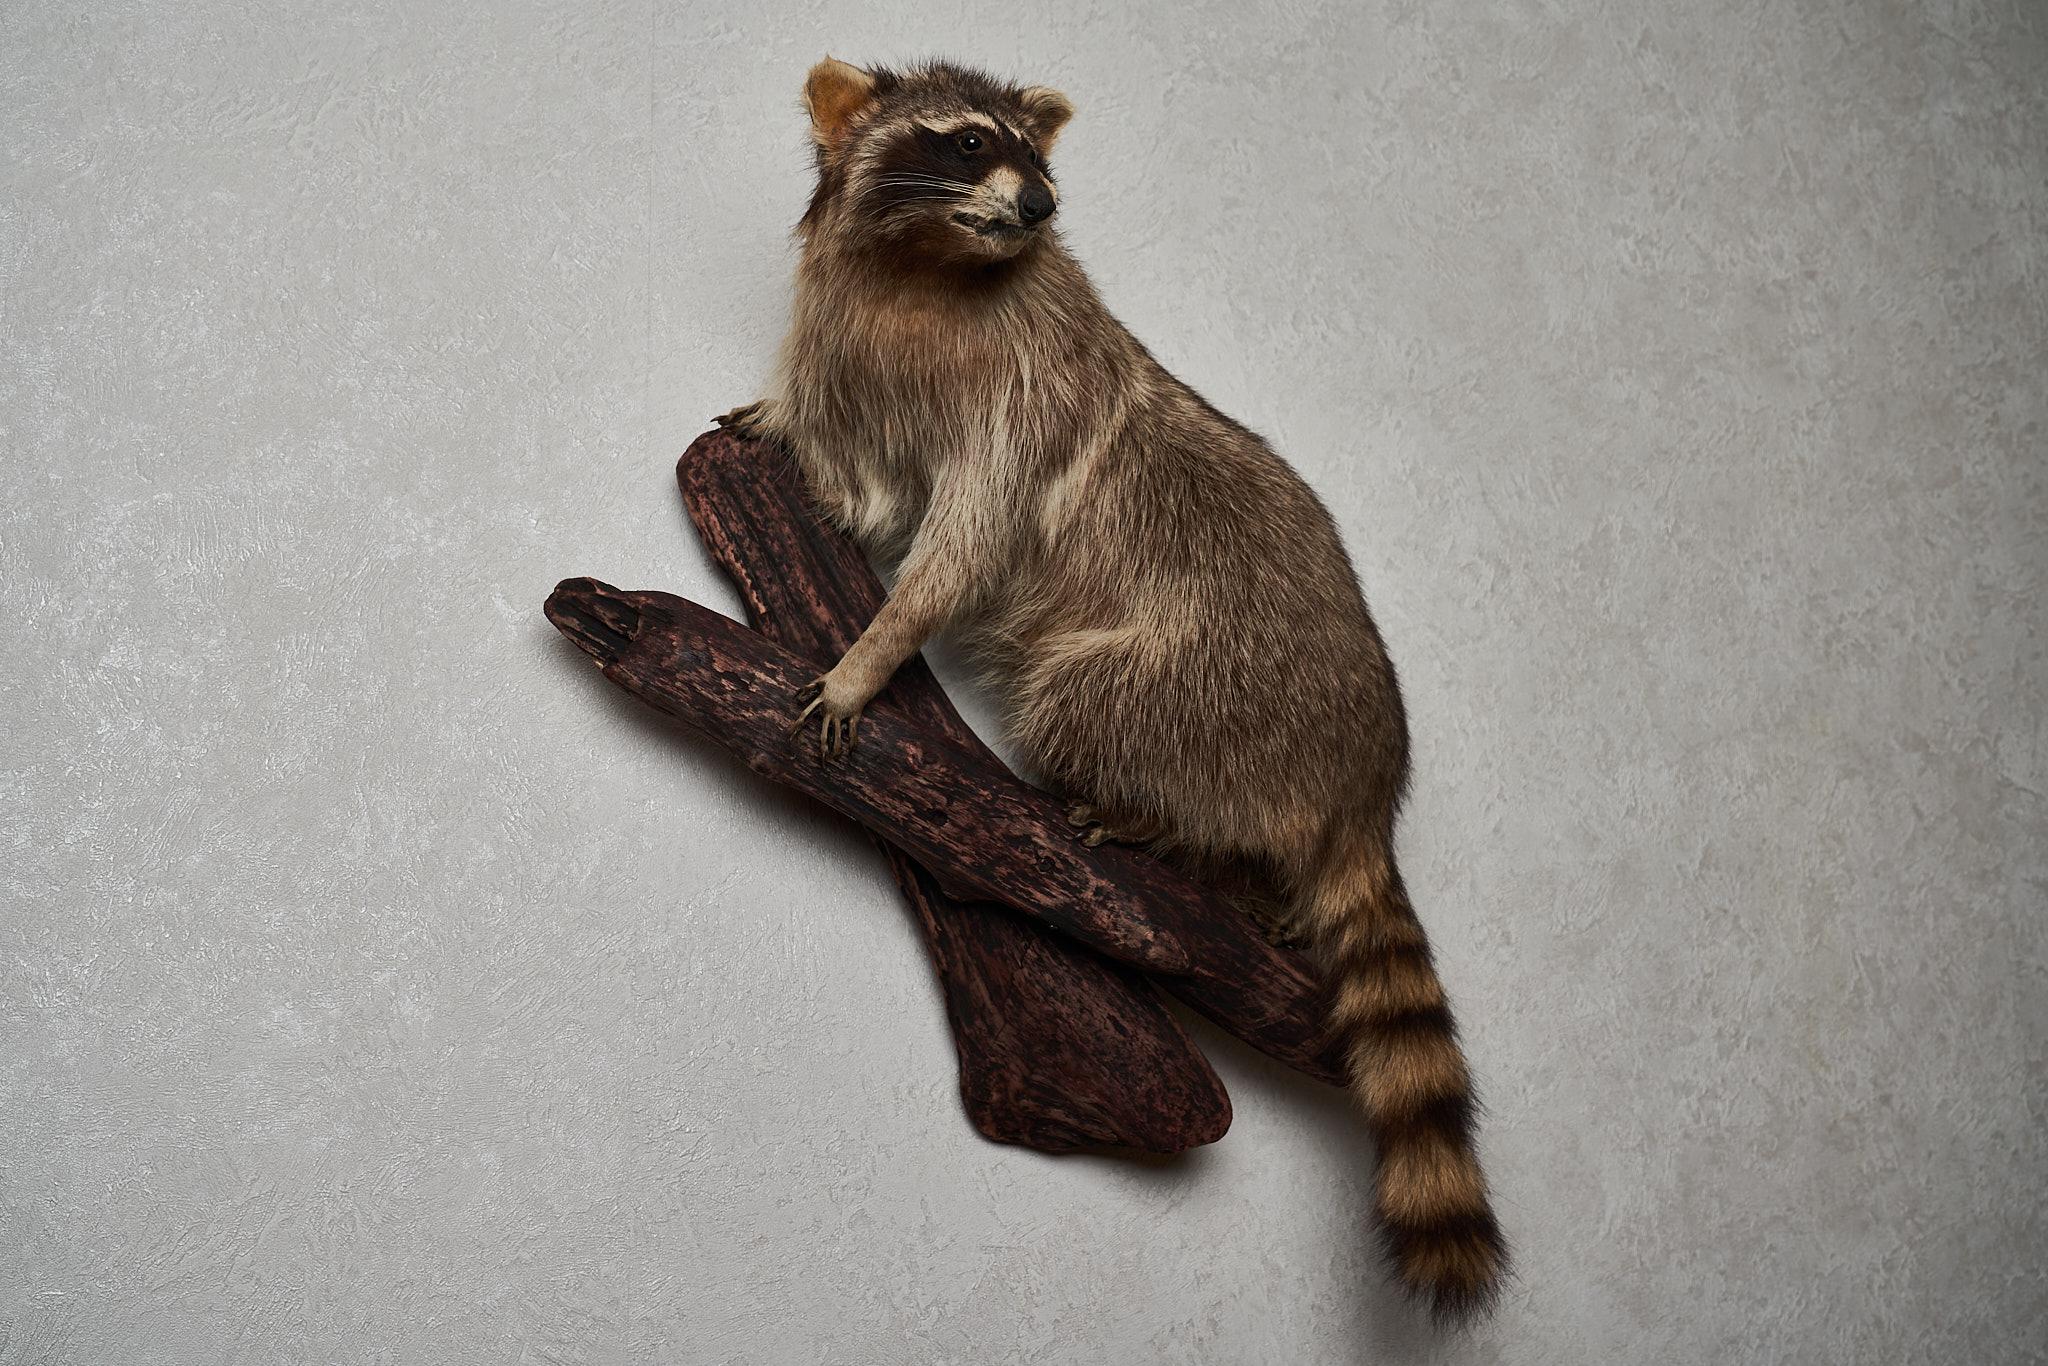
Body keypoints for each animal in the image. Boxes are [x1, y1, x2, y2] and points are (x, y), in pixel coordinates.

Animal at [720, 57, 1507, 1323]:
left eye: (1036, 159)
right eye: (966, 140)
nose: (1040, 203)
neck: (925, 265)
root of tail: (1359, 783)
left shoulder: (1022, 392)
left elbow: (960, 543)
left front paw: (870, 653)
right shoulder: (847, 338)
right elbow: (866, 480)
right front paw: (795, 442)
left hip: (1202, 688)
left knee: (1075, 693)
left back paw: (1156, 821)